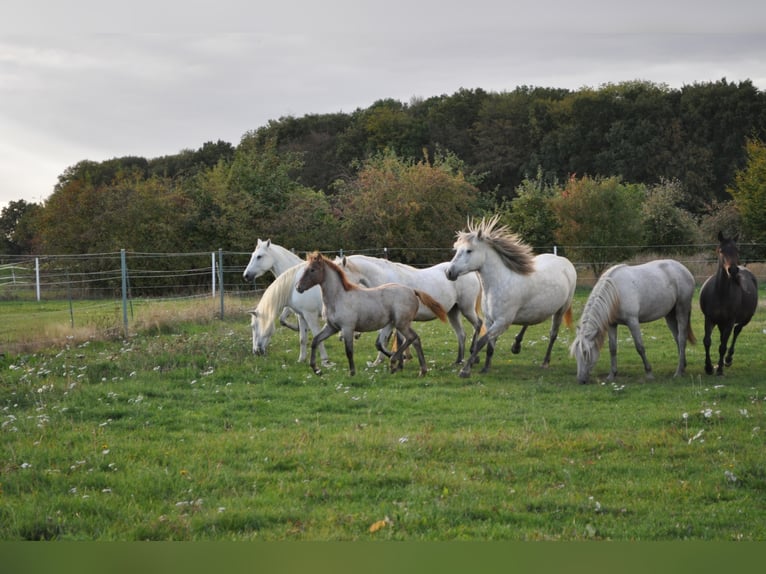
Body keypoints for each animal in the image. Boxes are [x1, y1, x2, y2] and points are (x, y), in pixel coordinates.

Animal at [296, 252, 447, 376]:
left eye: (312, 270)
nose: (298, 287)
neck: (339, 297)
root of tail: (412, 290)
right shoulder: (332, 327)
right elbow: (315, 340)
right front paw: (316, 369)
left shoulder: (347, 328)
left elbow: (349, 350)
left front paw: (352, 372)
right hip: (394, 324)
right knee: (414, 340)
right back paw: (420, 370)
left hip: (401, 324)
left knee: (412, 337)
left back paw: (397, 361)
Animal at [335, 254, 483, 364]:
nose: (341, 336)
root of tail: (470, 272)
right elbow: (383, 342)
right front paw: (383, 361)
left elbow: (393, 340)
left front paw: (399, 359)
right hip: (453, 312)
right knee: (461, 334)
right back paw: (458, 361)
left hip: (467, 308)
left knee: (478, 324)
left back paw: (473, 354)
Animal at [445, 215, 576, 378]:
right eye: (457, 249)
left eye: (469, 250)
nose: (449, 272)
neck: (498, 284)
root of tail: (565, 262)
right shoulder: (490, 321)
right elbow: (489, 346)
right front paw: (486, 368)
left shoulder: (502, 322)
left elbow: (481, 342)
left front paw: (465, 370)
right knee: (529, 322)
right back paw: (516, 345)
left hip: (561, 309)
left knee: (553, 334)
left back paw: (545, 362)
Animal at [699, 232, 758, 375]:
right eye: (721, 250)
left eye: (737, 250)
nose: (732, 270)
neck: (721, 293)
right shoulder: (709, 318)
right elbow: (707, 341)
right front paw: (708, 367)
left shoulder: (730, 321)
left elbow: (723, 346)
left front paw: (719, 370)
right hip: (721, 322)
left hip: (745, 319)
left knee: (736, 331)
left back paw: (728, 359)